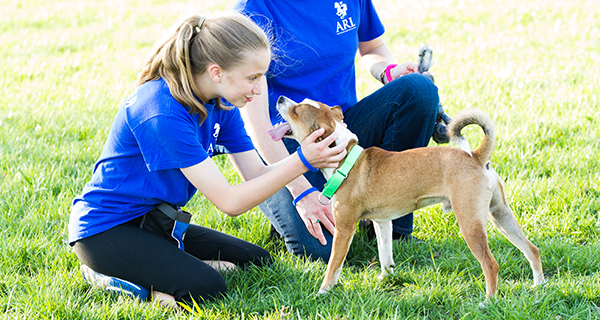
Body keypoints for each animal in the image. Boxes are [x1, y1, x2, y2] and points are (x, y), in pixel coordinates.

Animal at [274, 95, 548, 298]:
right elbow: (385, 255)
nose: (279, 98)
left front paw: (323, 291)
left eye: (296, 111)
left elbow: (333, 265)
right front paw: (386, 279)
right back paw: (539, 285)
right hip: (501, 216)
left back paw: (488, 302)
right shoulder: (382, 222)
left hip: (470, 222)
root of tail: (477, 157)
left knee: (490, 264)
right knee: (532, 250)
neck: (346, 158)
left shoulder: (344, 228)